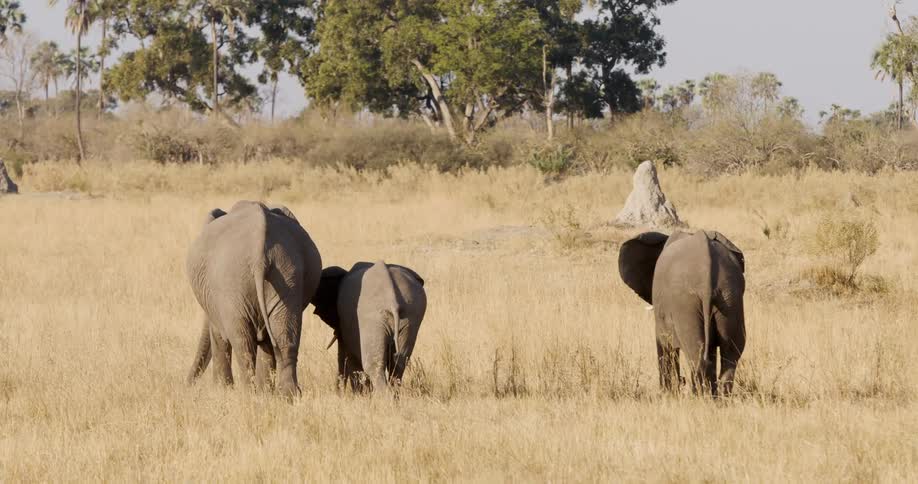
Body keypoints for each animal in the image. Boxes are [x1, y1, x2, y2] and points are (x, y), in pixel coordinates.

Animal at [185, 201, 322, 397]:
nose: (186, 386)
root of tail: (259, 253)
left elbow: (218, 335)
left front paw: (222, 391)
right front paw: (266, 393)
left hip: (231, 283)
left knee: (242, 343)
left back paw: (249, 394)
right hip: (288, 273)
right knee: (284, 336)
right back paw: (288, 395)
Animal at [311, 261, 426, 394]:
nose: (339, 392)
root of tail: (392, 299)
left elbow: (348, 359)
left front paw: (359, 395)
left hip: (371, 320)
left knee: (374, 366)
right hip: (411, 315)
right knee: (399, 363)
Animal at [618, 230, 746, 397]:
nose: (682, 381)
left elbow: (664, 345)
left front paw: (667, 395)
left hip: (686, 304)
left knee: (697, 355)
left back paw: (701, 397)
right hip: (730, 298)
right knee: (731, 354)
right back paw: (719, 398)